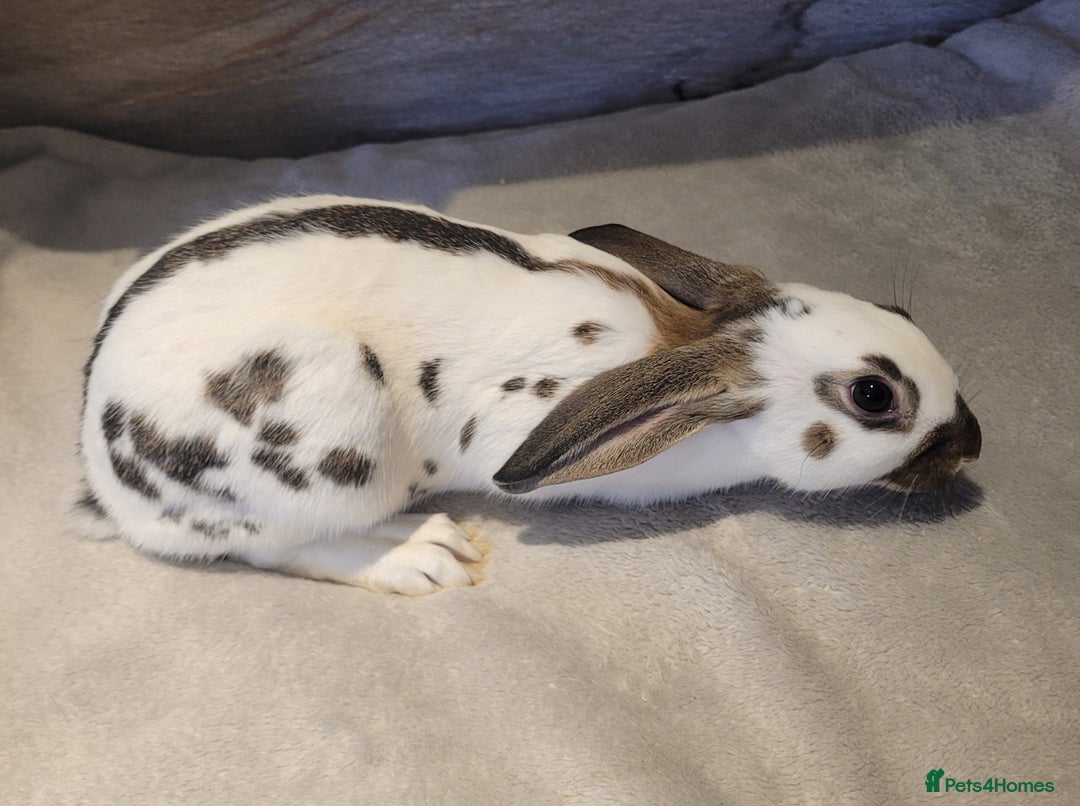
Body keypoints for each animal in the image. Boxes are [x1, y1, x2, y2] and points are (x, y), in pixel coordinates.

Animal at [74, 195, 981, 594]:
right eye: (874, 395)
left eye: (900, 311)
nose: (972, 443)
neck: (691, 350)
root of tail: (104, 481)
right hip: (327, 443)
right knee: (273, 545)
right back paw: (425, 556)